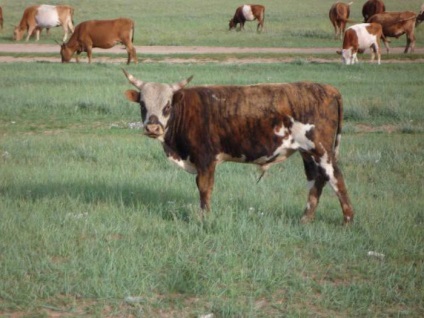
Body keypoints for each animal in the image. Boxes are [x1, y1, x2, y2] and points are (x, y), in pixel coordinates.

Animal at [121, 70, 354, 224]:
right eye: (143, 105)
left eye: (167, 106)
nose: (152, 127)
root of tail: (328, 89)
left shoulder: (205, 159)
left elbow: (204, 189)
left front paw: (204, 218)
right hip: (307, 153)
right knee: (316, 180)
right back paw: (305, 219)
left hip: (322, 150)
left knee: (336, 179)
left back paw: (348, 220)